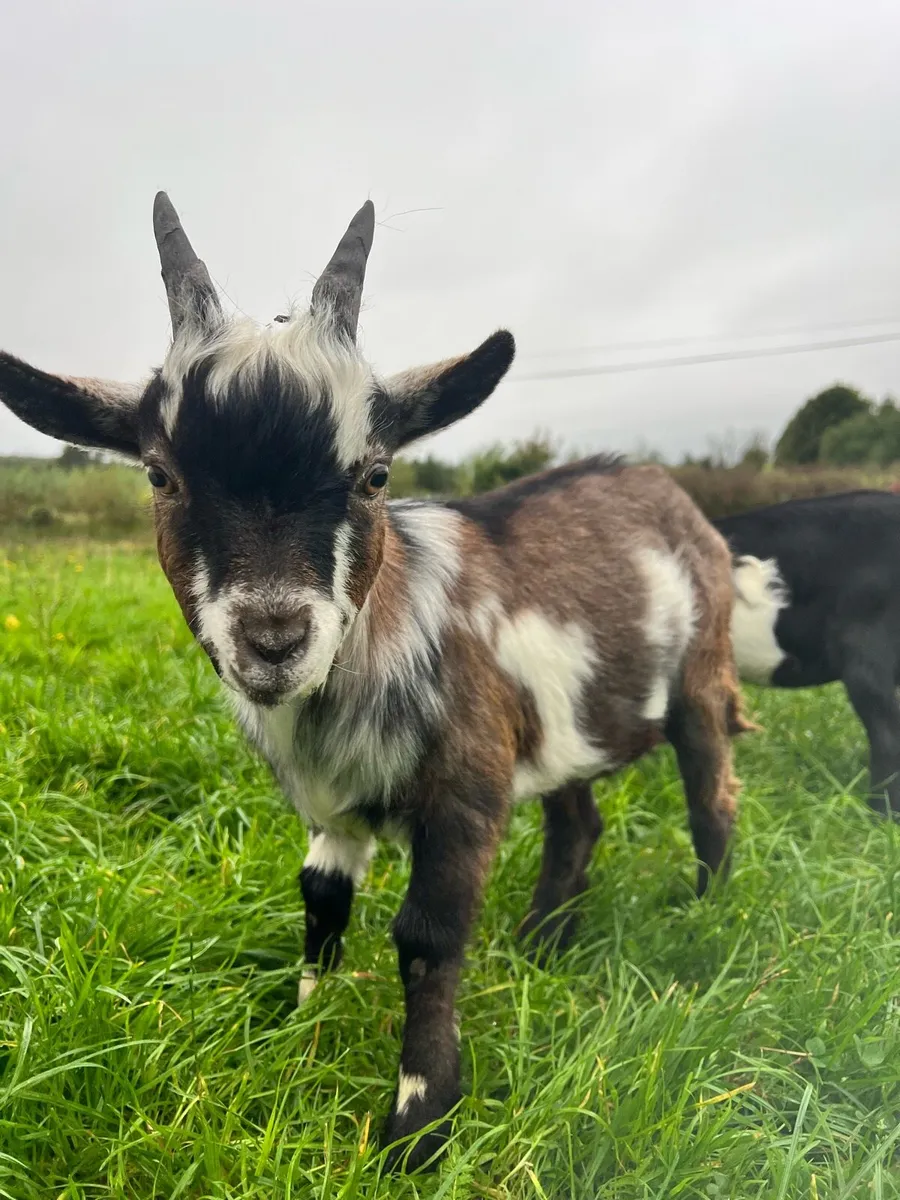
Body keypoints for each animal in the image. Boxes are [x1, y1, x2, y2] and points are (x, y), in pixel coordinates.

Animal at [0, 194, 751, 1171]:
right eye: (161, 475)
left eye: (375, 474)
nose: (274, 638)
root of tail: (670, 493)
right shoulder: (336, 800)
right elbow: (321, 897)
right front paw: (302, 1027)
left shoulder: (466, 785)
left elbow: (427, 936)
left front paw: (418, 1126)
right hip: (560, 726)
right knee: (577, 820)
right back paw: (544, 945)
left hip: (701, 677)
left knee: (711, 795)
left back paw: (703, 921)